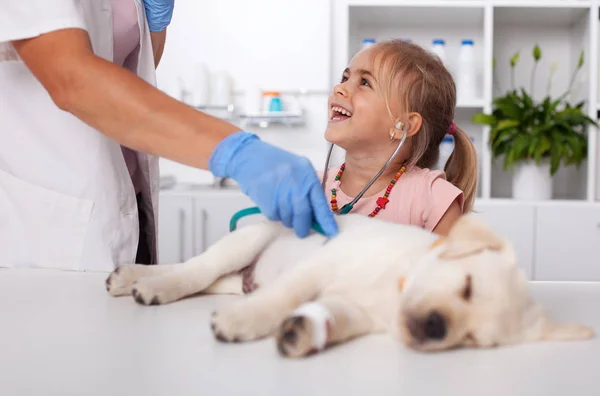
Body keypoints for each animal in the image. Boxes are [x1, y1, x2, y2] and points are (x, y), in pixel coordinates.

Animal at [105, 215, 592, 358]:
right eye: (467, 286)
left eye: (473, 340)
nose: (435, 328)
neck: (395, 285)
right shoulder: (321, 265)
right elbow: (283, 298)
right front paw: (245, 322)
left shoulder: (356, 312)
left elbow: (331, 317)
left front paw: (301, 333)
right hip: (248, 240)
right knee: (197, 269)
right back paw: (151, 284)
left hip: (239, 273)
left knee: (212, 279)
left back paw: (131, 277)